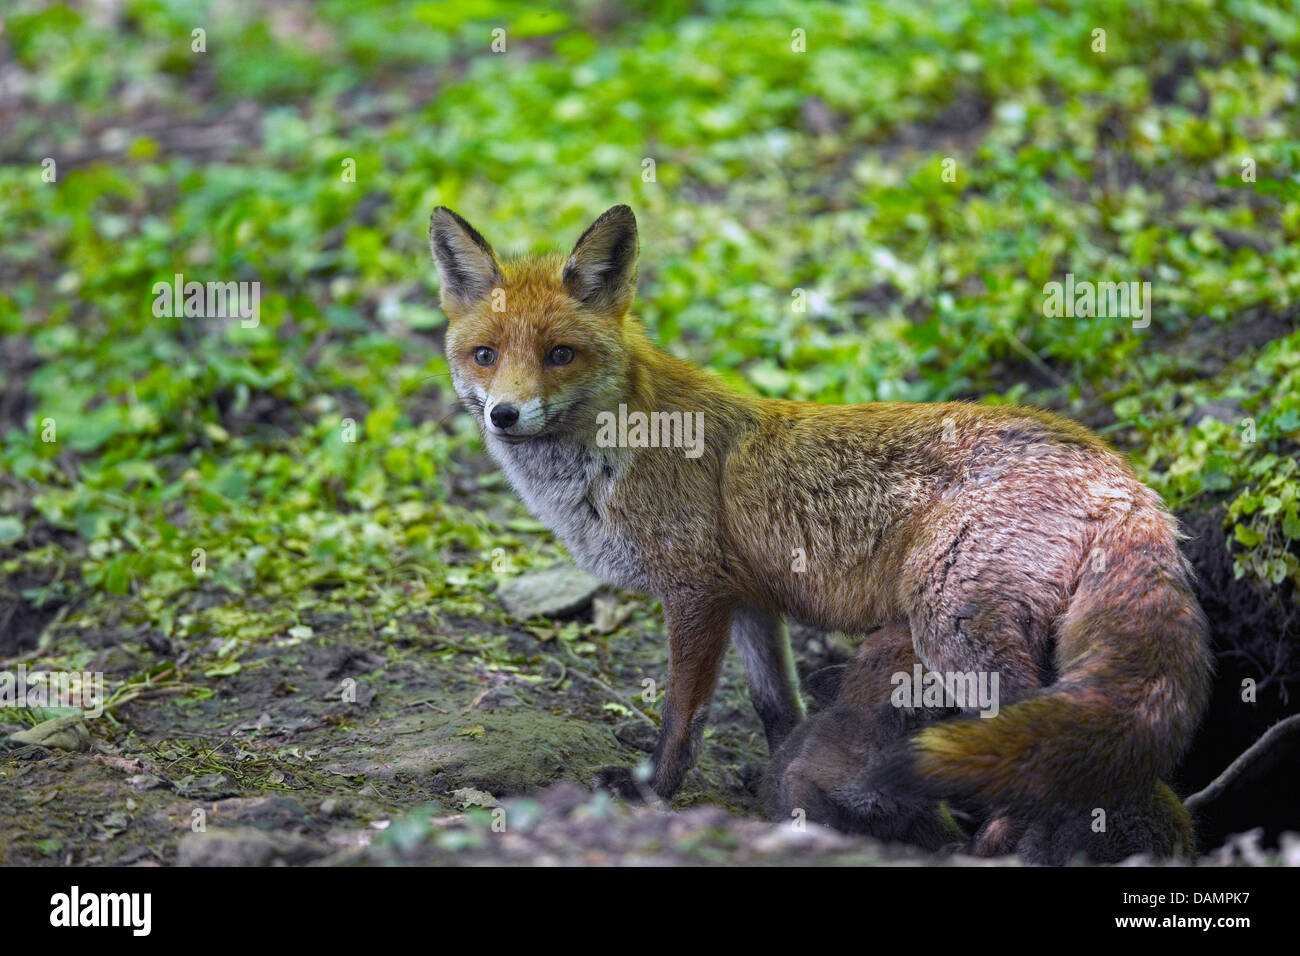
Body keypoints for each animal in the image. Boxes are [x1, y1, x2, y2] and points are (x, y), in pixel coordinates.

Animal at [431, 205, 1211, 863]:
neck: (618, 453)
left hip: (953, 630)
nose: (504, 415)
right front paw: (781, 790)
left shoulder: (695, 592)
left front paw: (655, 790)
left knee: (1039, 744)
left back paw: (994, 845)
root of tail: (1119, 473)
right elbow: (778, 708)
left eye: (560, 354)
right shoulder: (749, 598)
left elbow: (683, 716)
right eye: (485, 355)